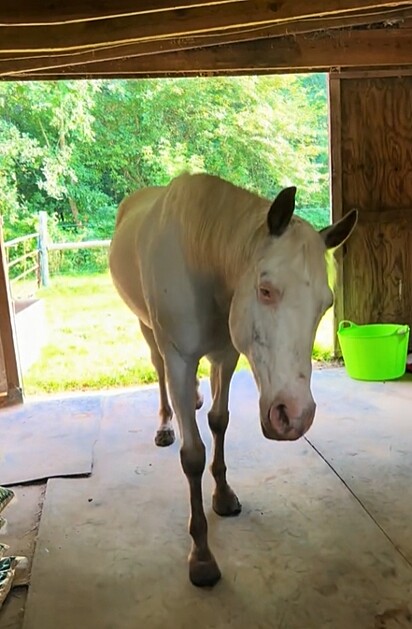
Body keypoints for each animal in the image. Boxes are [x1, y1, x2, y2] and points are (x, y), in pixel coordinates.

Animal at [109, 170, 358, 584]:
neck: (200, 260)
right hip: (147, 328)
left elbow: (219, 421)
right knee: (158, 370)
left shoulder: (226, 355)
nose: (295, 415)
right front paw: (202, 555)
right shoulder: (179, 359)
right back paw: (166, 423)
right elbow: (193, 455)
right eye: (266, 290)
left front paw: (223, 495)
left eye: (326, 304)